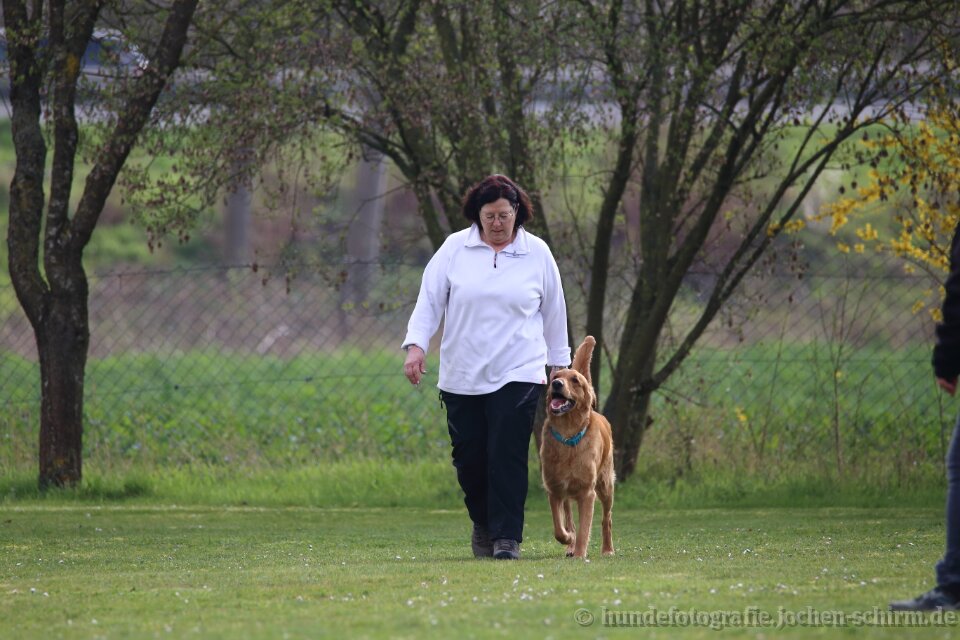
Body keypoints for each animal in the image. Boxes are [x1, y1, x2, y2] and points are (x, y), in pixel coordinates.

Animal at [539, 335, 615, 558]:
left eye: (575, 380)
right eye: (556, 376)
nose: (556, 383)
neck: (567, 436)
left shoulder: (587, 492)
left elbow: (584, 528)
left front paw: (581, 552)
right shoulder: (555, 489)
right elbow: (560, 527)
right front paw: (568, 540)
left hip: (606, 486)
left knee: (606, 519)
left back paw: (607, 549)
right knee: (569, 519)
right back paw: (570, 544)